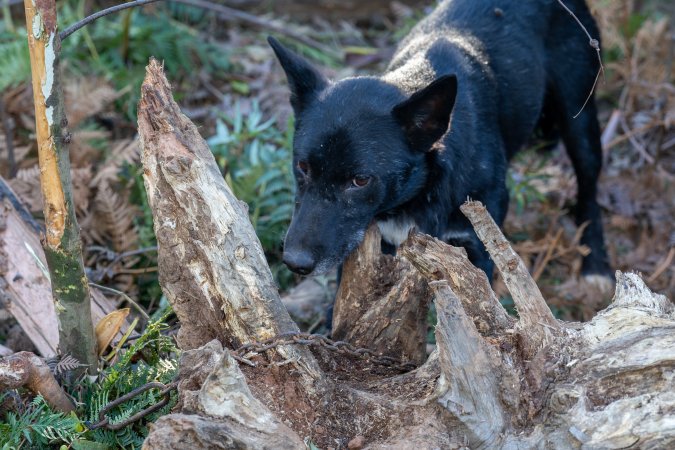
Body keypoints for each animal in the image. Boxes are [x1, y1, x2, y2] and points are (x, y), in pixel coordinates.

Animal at [270, 0, 612, 282]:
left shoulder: (477, 247)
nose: (294, 262)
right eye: (302, 167)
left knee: (589, 188)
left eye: (360, 180)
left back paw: (596, 264)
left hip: (580, 117)